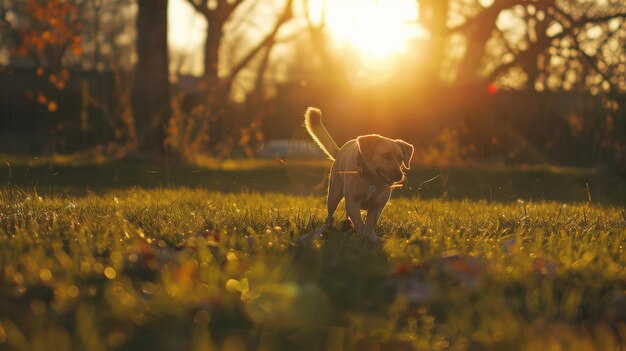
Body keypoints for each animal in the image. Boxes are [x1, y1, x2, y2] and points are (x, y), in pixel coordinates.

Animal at [300, 107, 412, 245]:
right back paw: (326, 229)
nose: (399, 176)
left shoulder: (377, 206)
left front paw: (371, 238)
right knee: (330, 214)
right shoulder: (352, 201)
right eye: (385, 156)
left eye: (401, 158)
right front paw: (362, 236)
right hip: (334, 194)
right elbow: (360, 224)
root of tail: (339, 152)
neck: (371, 180)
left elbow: (369, 226)